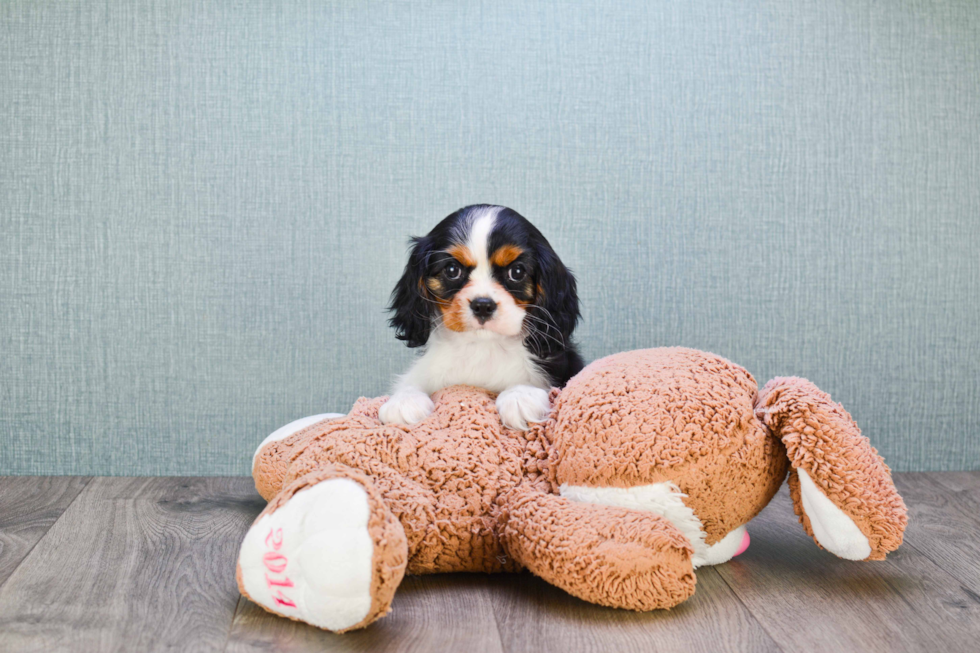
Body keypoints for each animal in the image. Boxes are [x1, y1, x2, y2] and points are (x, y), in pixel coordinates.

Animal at [380, 204, 580, 428]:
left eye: (517, 272)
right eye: (452, 270)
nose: (483, 305)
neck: (481, 346)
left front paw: (520, 396)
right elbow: (411, 382)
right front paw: (404, 401)